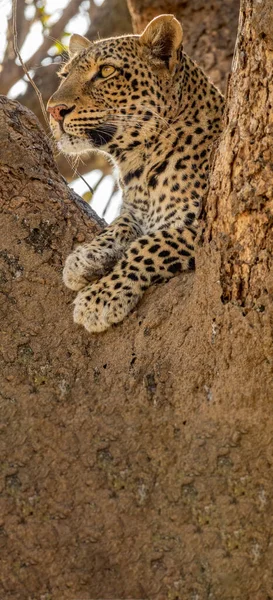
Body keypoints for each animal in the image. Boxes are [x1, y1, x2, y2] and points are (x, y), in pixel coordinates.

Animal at [46, 14, 222, 332]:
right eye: (65, 75)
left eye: (106, 71)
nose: (54, 110)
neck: (138, 166)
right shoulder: (135, 208)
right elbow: (122, 224)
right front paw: (85, 257)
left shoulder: (205, 227)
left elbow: (151, 244)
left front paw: (100, 298)